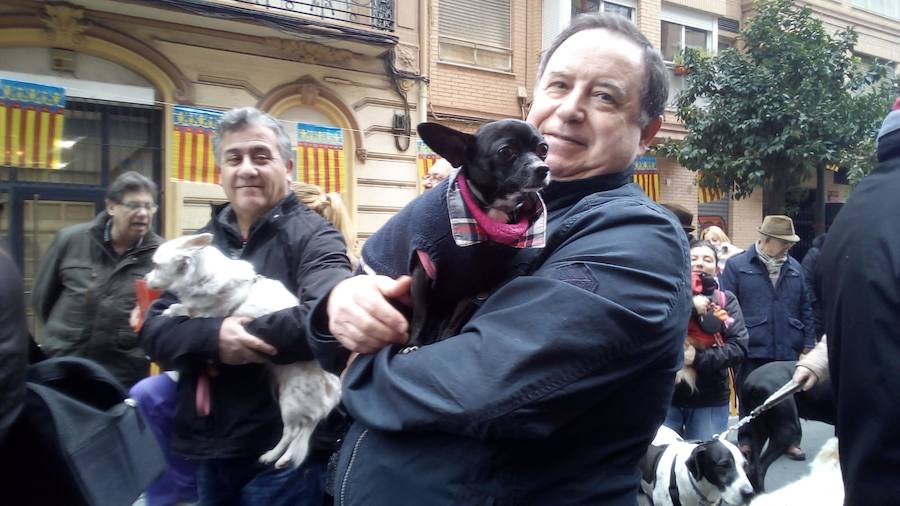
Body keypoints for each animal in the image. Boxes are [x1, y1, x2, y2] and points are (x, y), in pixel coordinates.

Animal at [146, 232, 342, 466]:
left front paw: (173, 310)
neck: (202, 276)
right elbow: (187, 307)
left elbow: (192, 311)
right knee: (301, 431)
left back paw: (275, 457)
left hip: (293, 400)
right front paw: (174, 307)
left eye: (156, 265)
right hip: (295, 399)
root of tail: (334, 386)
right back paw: (280, 457)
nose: (145, 279)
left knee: (295, 431)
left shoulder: (211, 314)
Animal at [362, 118, 552, 348]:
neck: (491, 211)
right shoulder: (421, 273)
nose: (543, 168)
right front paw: (413, 344)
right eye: (505, 152)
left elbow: (456, 317)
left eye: (543, 149)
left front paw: (445, 338)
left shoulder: (472, 284)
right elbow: (420, 314)